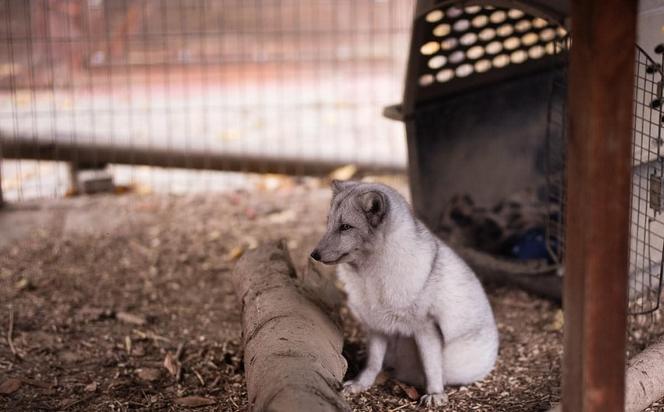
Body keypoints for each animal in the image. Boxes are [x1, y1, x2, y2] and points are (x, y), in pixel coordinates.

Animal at [312, 180, 498, 406]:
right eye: (328, 223)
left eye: (346, 227)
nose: (314, 255)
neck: (371, 278)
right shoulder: (377, 326)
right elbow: (373, 362)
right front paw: (361, 383)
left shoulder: (426, 327)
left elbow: (431, 366)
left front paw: (435, 393)